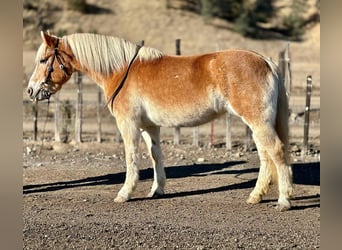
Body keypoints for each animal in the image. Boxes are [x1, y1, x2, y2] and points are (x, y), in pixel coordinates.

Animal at [27, 31, 294, 211]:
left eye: (43, 60)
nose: (31, 90)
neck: (120, 70)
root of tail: (266, 61)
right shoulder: (149, 127)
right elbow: (156, 156)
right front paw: (157, 190)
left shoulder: (128, 124)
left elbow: (131, 157)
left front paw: (125, 193)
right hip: (257, 124)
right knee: (265, 156)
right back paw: (256, 196)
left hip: (258, 122)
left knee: (276, 151)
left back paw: (284, 200)